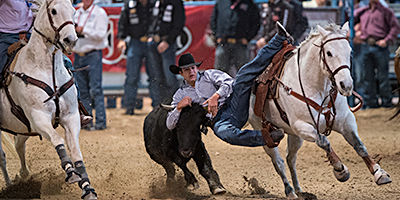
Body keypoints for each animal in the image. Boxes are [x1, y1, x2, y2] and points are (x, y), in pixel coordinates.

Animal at [0, 0, 97, 199]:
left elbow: (76, 152)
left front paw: (87, 187)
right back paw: (9, 184)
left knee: (18, 146)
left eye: (73, 11)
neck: (46, 69)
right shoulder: (38, 118)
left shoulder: (71, 117)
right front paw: (70, 172)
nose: (70, 40)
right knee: (2, 157)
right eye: (53, 11)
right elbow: (58, 139)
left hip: (22, 127)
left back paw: (22, 176)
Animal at [250, 22, 390, 198]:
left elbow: (359, 145)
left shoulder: (346, 121)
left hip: (294, 136)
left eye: (350, 51)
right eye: (329, 53)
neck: (317, 87)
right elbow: (324, 142)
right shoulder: (302, 126)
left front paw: (379, 172)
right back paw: (290, 191)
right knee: (279, 162)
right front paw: (340, 170)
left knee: (290, 158)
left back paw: (299, 190)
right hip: (266, 133)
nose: (346, 85)